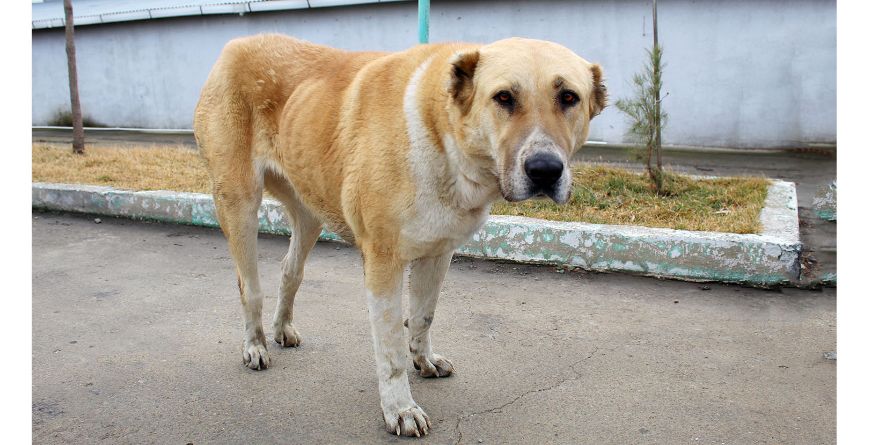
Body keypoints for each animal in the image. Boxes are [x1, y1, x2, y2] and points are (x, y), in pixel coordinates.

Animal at [194, 35, 608, 438]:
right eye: (504, 97)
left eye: (568, 97)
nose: (545, 170)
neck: (439, 131)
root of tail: (236, 43)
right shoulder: (383, 263)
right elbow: (390, 346)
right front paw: (400, 409)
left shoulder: (439, 253)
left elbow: (423, 315)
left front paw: (423, 359)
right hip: (240, 205)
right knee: (250, 287)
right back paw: (255, 345)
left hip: (309, 215)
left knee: (289, 271)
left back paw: (281, 328)